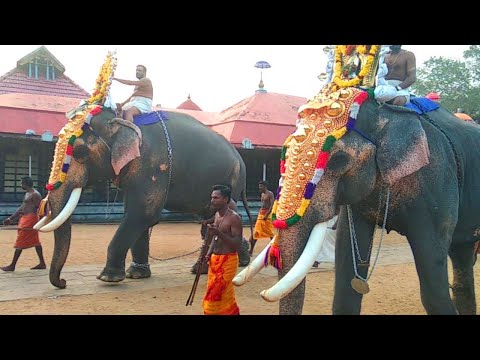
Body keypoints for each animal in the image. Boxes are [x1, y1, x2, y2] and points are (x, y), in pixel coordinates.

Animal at [36, 105, 253, 290]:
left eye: (80, 152)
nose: (63, 282)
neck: (122, 121)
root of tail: (241, 159)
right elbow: (137, 216)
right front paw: (136, 274)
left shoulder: (154, 164)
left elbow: (142, 214)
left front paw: (108, 278)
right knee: (210, 221)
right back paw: (231, 263)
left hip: (231, 182)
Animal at [235, 87, 480, 316]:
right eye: (284, 155)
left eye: (338, 160)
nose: (263, 293)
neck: (387, 112)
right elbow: (346, 278)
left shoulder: (437, 182)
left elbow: (433, 289)